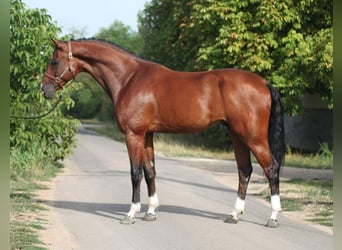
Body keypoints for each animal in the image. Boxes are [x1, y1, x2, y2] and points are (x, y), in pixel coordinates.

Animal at [41, 38, 284, 227]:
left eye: (54, 61)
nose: (44, 89)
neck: (129, 78)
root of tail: (263, 82)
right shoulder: (147, 135)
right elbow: (150, 171)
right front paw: (150, 212)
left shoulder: (134, 134)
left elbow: (135, 173)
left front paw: (131, 213)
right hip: (237, 136)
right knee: (244, 171)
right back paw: (233, 215)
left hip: (253, 137)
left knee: (271, 169)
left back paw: (273, 217)